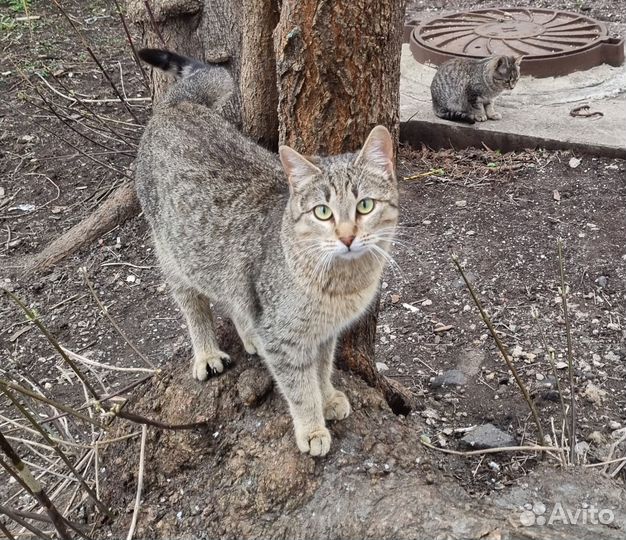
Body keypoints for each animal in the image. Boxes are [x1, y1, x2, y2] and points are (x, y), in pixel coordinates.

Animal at [136, 49, 400, 456]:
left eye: (365, 206)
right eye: (322, 212)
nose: (347, 237)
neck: (342, 283)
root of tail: (178, 105)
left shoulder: (324, 335)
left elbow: (322, 369)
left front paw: (327, 396)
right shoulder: (286, 338)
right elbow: (299, 388)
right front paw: (312, 427)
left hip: (227, 270)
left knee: (235, 300)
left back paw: (250, 336)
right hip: (173, 256)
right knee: (194, 306)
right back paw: (206, 353)